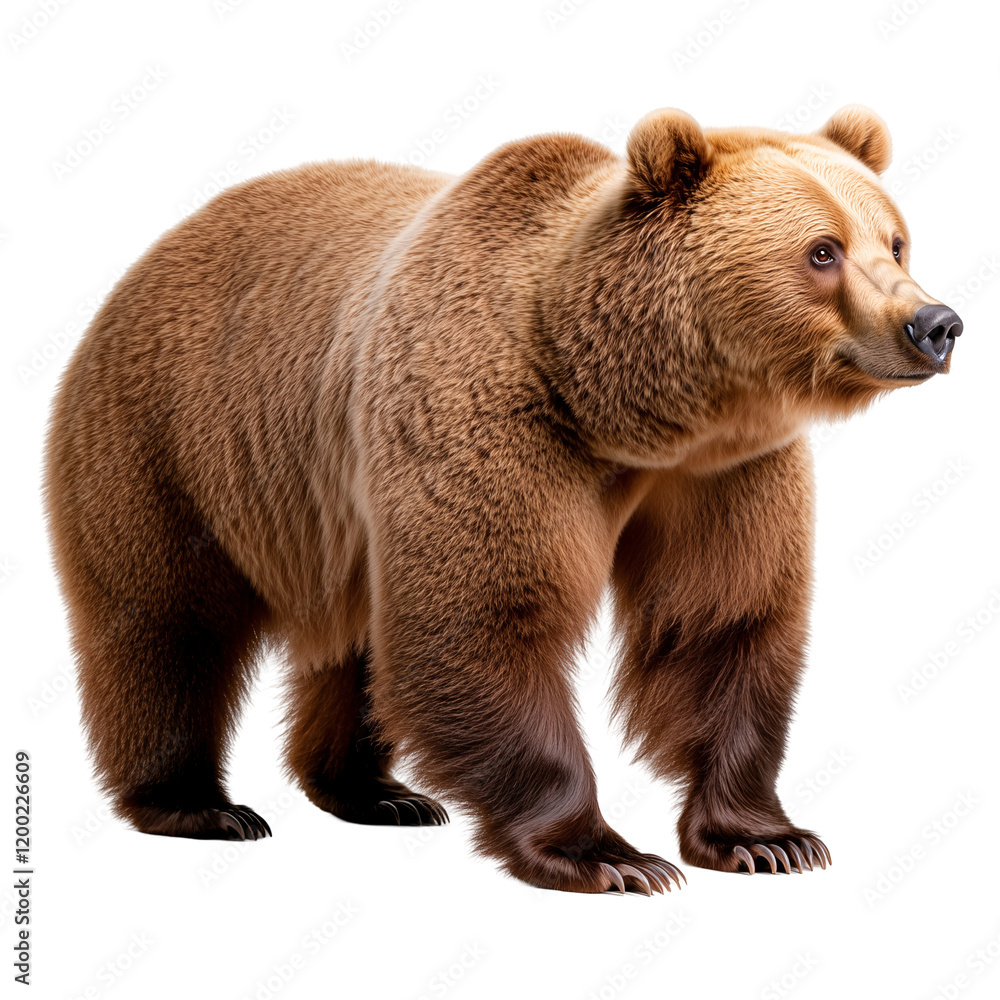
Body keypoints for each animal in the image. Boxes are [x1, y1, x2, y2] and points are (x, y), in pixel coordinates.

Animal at [43, 105, 963, 893]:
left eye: (896, 240)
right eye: (822, 250)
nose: (936, 324)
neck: (627, 410)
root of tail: (151, 252)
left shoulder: (723, 471)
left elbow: (718, 619)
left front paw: (767, 839)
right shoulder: (489, 415)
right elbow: (485, 616)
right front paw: (608, 856)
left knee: (356, 639)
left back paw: (376, 792)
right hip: (171, 436)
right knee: (166, 622)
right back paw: (197, 804)